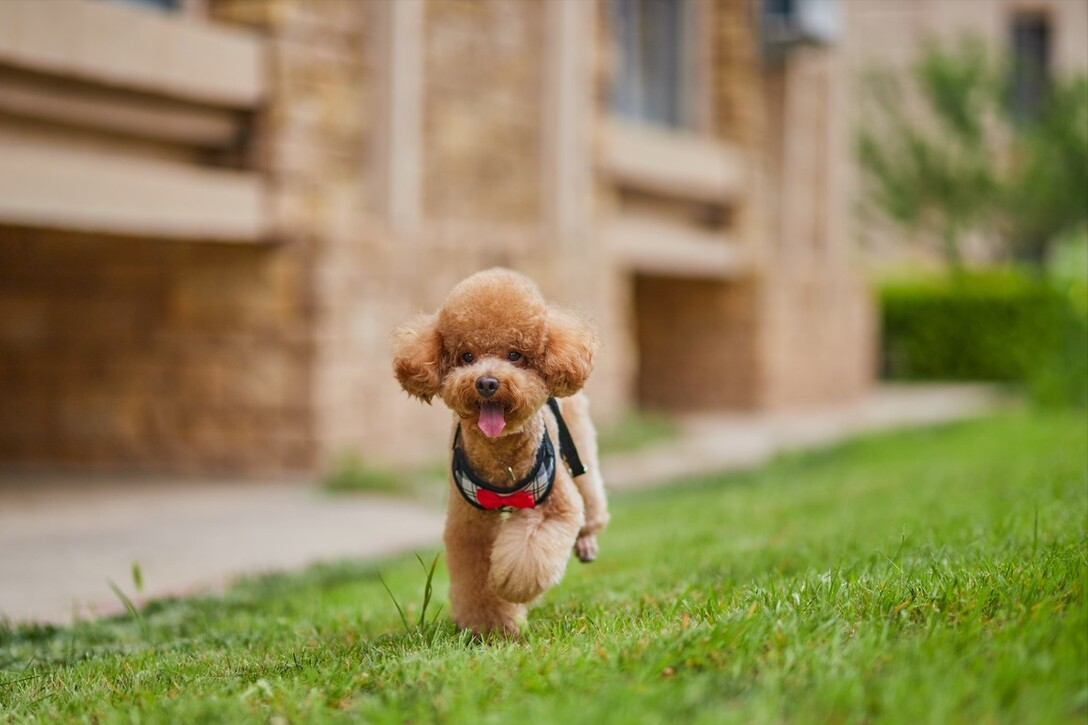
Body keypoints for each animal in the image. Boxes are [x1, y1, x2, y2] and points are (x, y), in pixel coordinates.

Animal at [393, 266, 613, 631]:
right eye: (467, 356)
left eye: (515, 355)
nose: (486, 382)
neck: (501, 460)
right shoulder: (468, 526)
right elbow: (476, 576)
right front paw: (489, 625)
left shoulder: (554, 508)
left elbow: (527, 555)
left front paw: (511, 586)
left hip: (579, 449)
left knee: (591, 501)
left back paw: (587, 542)